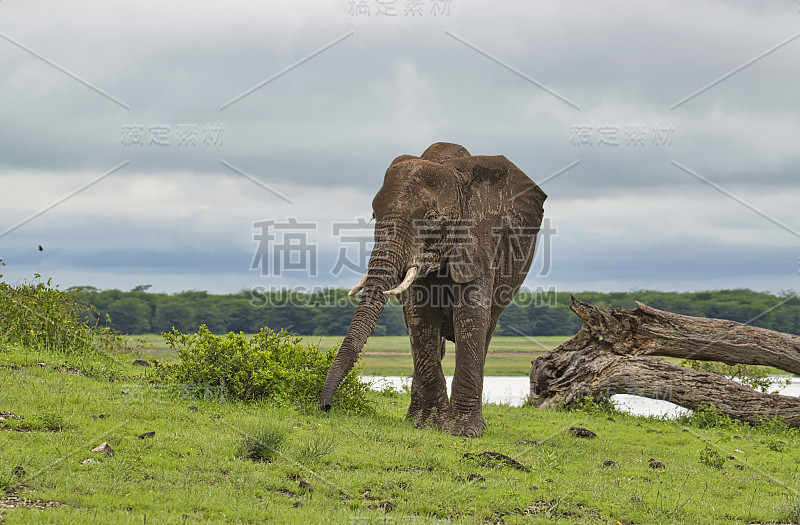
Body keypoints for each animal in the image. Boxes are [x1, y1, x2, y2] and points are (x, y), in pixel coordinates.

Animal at [322, 141, 548, 436]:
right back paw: (414, 417)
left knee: (486, 332)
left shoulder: (481, 243)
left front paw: (466, 432)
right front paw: (428, 425)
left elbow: (471, 319)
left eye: (430, 220)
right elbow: (420, 321)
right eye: (374, 216)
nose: (325, 407)